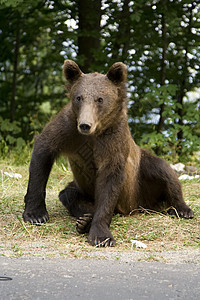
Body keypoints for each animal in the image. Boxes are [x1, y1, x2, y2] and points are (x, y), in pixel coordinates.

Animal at [23, 60, 194, 246]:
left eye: (100, 99)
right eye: (79, 97)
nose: (85, 125)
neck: (94, 133)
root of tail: (135, 207)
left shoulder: (112, 140)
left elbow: (109, 181)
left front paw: (101, 235)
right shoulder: (67, 129)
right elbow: (43, 152)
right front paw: (36, 214)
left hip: (140, 176)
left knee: (162, 170)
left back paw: (183, 209)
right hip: (82, 188)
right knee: (69, 195)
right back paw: (85, 220)